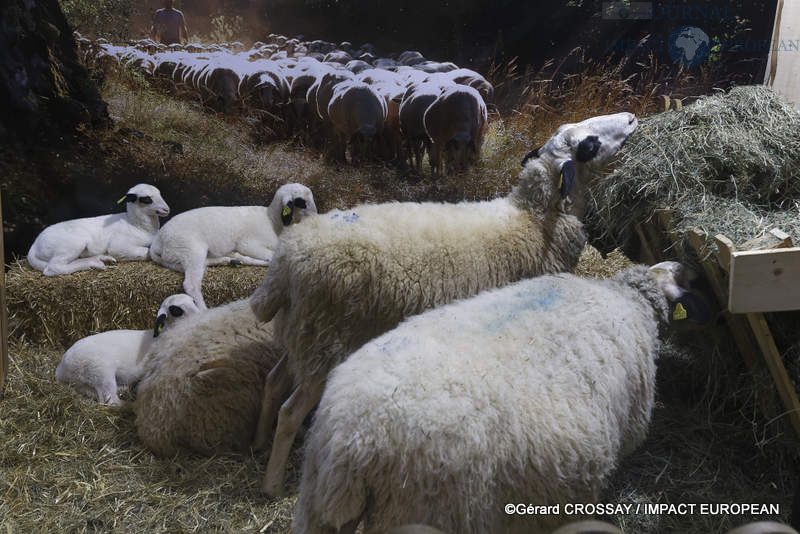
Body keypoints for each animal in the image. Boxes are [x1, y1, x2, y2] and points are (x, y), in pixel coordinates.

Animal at [28, 184, 170, 276]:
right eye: (147, 199)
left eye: (160, 194)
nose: (167, 209)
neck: (136, 224)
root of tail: (34, 246)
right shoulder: (119, 246)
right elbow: (146, 252)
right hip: (71, 244)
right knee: (53, 268)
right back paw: (94, 264)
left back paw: (100, 260)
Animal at [55, 294, 202, 406]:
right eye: (176, 310)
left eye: (193, 301)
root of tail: (62, 370)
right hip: (100, 372)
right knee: (109, 400)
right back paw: (128, 405)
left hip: (83, 382)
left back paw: (124, 388)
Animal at [149, 183, 316, 310]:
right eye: (301, 202)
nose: (316, 218)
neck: (272, 221)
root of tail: (157, 241)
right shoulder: (248, 244)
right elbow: (273, 255)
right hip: (191, 249)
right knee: (191, 284)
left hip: (189, 254)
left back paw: (233, 260)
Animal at [250, 112, 636, 498]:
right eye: (589, 144)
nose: (632, 119)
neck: (534, 220)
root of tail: (285, 263)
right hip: (327, 342)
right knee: (290, 411)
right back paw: (272, 484)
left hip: (304, 333)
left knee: (272, 381)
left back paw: (259, 440)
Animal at [294, 262, 708, 532]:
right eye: (675, 276)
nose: (685, 264)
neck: (627, 299)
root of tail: (351, 440)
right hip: (428, 512)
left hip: (316, 506)